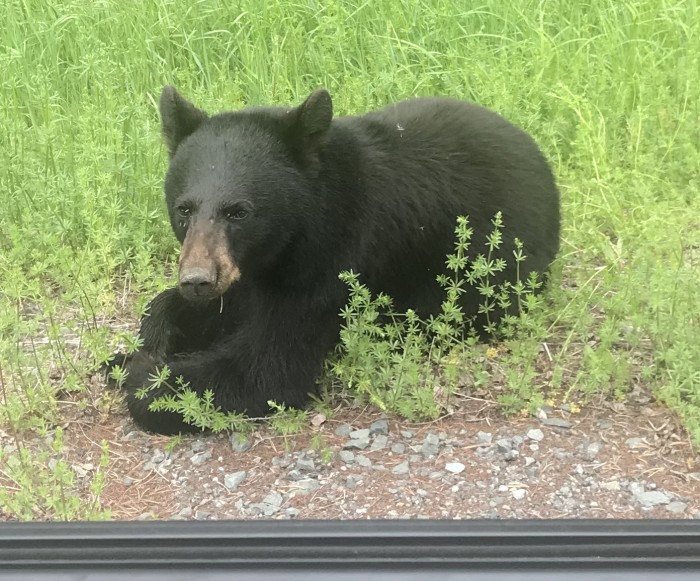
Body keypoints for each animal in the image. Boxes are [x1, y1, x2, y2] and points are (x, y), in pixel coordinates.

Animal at [106, 85, 561, 436]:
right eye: (184, 209)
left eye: (239, 212)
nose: (197, 279)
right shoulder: (247, 270)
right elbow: (204, 306)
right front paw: (130, 352)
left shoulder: (333, 261)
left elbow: (268, 369)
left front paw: (146, 376)